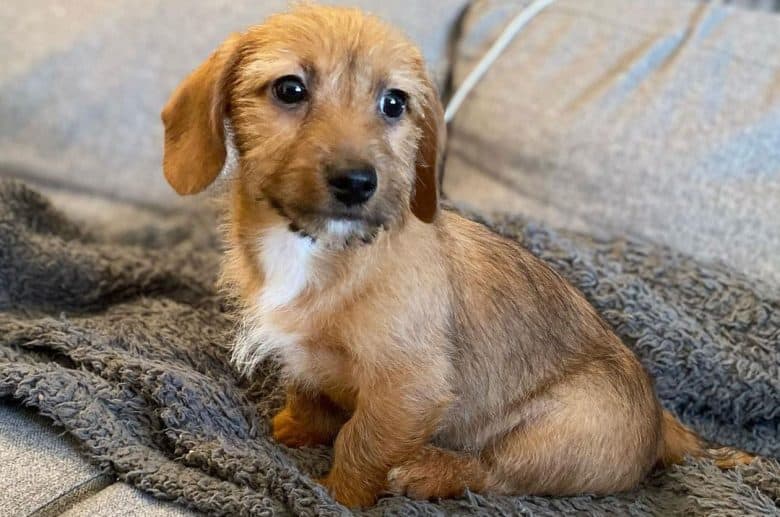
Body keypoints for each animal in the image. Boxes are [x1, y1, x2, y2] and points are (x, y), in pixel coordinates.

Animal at [161, 3, 752, 504]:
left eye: (394, 103)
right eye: (290, 88)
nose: (358, 182)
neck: (320, 250)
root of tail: (662, 419)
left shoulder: (408, 389)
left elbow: (360, 443)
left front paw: (336, 494)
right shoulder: (305, 356)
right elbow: (308, 391)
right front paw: (294, 428)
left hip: (559, 431)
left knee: (495, 472)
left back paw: (430, 470)